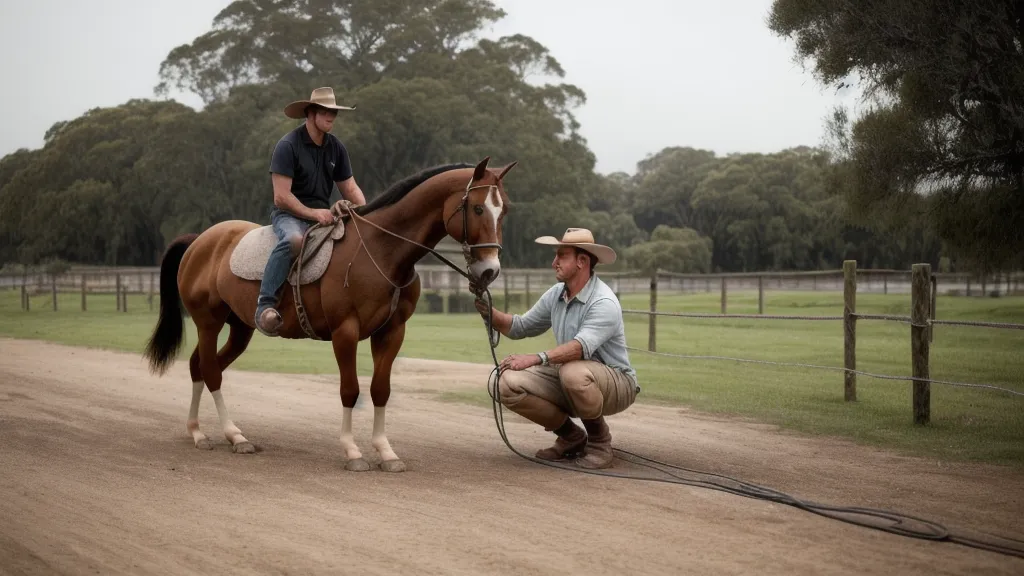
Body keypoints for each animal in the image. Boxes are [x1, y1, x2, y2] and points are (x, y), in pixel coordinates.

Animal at [142, 157, 515, 472]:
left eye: (504, 211)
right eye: (477, 207)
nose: (490, 271)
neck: (381, 250)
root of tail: (200, 240)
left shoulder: (392, 332)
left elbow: (380, 390)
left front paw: (386, 452)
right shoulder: (345, 332)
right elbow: (350, 390)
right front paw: (352, 452)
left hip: (240, 328)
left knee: (201, 367)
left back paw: (206, 431)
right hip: (209, 322)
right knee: (210, 371)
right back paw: (224, 434)